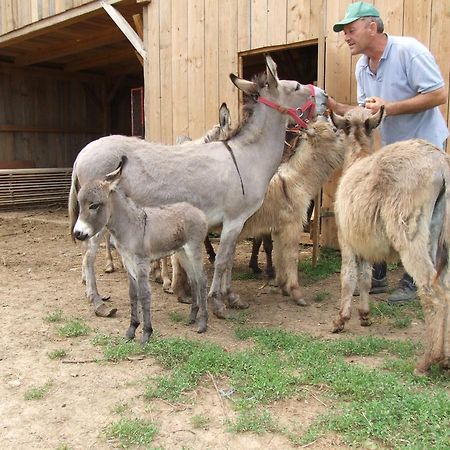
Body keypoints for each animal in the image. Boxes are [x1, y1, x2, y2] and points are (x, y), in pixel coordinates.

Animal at [72, 156, 209, 342]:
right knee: (194, 280)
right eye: (80, 205)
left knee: (202, 281)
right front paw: (131, 330)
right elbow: (133, 293)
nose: (77, 233)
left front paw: (146, 333)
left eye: (94, 205)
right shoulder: (128, 262)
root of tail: (197, 211)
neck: (130, 227)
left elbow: (144, 294)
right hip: (182, 252)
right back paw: (192, 318)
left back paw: (203, 324)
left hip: (194, 249)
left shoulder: (142, 263)